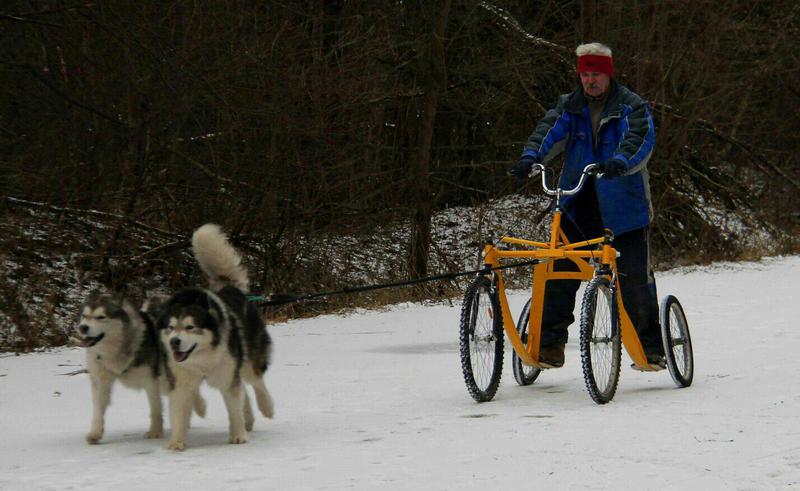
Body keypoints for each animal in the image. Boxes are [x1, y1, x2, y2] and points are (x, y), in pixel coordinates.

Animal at [73, 292, 206, 446]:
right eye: (85, 316)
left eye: (101, 317)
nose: (83, 327)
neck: (115, 351)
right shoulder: (100, 381)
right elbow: (98, 410)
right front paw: (95, 433)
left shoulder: (151, 382)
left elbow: (155, 409)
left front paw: (155, 431)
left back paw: (200, 408)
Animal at [159, 225, 276, 452]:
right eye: (170, 328)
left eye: (190, 327)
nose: (174, 342)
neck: (202, 358)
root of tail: (230, 288)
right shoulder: (183, 381)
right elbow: (179, 412)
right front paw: (176, 442)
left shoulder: (227, 375)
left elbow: (234, 407)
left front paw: (238, 435)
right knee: (245, 390)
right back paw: (249, 419)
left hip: (247, 359)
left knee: (256, 381)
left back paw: (266, 407)